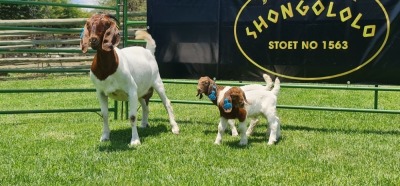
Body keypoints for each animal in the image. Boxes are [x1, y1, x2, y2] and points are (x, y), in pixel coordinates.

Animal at [80, 13, 179, 146]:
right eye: (89, 24)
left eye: (105, 24)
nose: (93, 40)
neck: (107, 69)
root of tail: (148, 51)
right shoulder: (100, 92)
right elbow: (104, 115)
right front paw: (105, 137)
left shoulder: (131, 90)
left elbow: (132, 116)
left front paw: (135, 141)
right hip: (141, 91)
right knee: (145, 106)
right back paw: (144, 124)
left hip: (157, 82)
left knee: (167, 103)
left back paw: (175, 128)